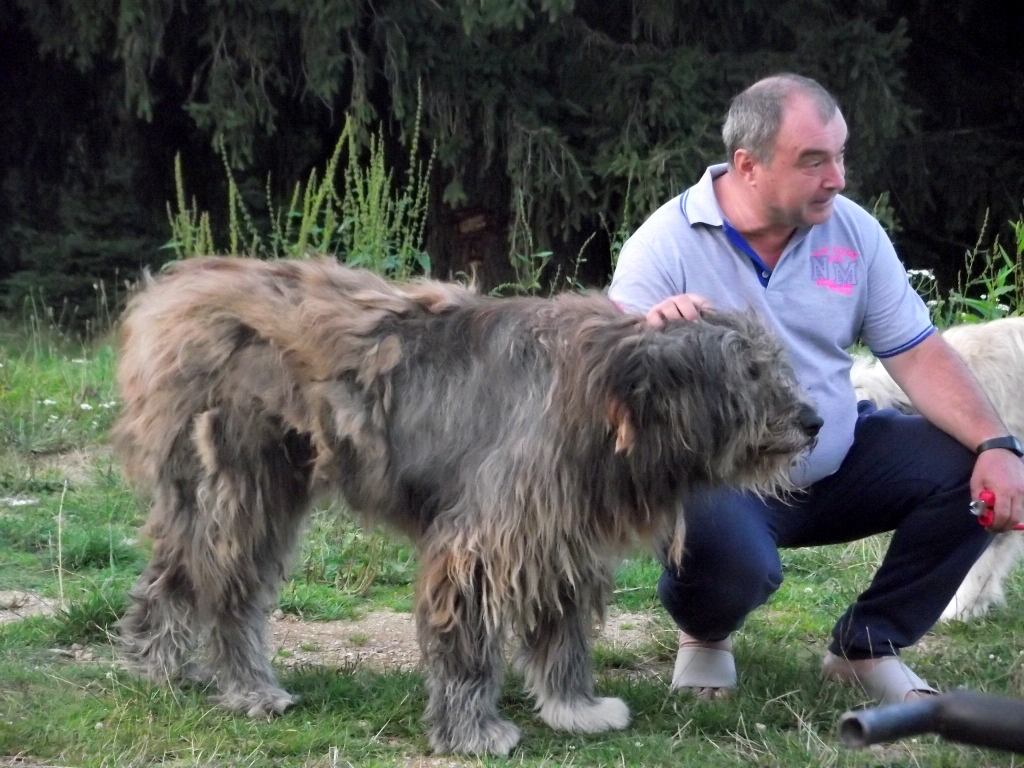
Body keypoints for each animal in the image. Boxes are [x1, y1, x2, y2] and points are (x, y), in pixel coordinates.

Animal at [113, 256, 820, 755]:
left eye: (771, 363)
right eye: (749, 372)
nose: (813, 421)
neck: (607, 389)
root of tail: (172, 292)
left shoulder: (556, 535)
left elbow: (561, 633)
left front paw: (575, 710)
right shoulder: (486, 537)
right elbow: (469, 642)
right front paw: (473, 731)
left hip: (235, 492)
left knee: (174, 573)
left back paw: (157, 667)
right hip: (241, 485)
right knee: (226, 588)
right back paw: (250, 690)